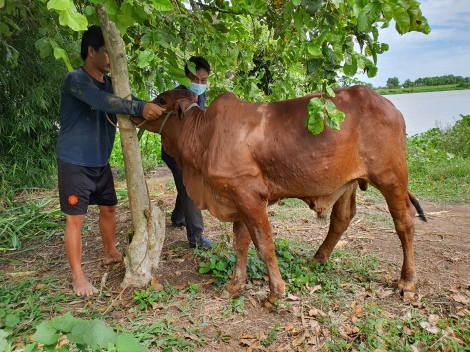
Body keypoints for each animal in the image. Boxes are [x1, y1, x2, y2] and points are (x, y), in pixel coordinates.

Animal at [132, 85, 426, 302]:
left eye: (161, 99)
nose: (138, 109)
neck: (204, 136)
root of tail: (389, 105)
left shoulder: (250, 196)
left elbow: (264, 245)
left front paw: (275, 292)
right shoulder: (236, 199)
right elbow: (241, 243)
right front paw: (234, 286)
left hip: (391, 178)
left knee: (405, 223)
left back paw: (407, 282)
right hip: (348, 182)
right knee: (342, 217)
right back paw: (317, 259)